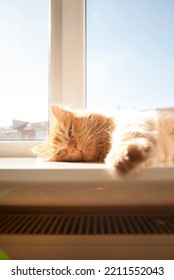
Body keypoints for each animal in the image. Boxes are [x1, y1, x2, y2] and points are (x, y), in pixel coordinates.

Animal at [32, 104, 174, 174]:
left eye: (70, 132)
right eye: (61, 152)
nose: (73, 147)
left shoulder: (132, 121)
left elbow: (127, 136)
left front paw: (124, 155)